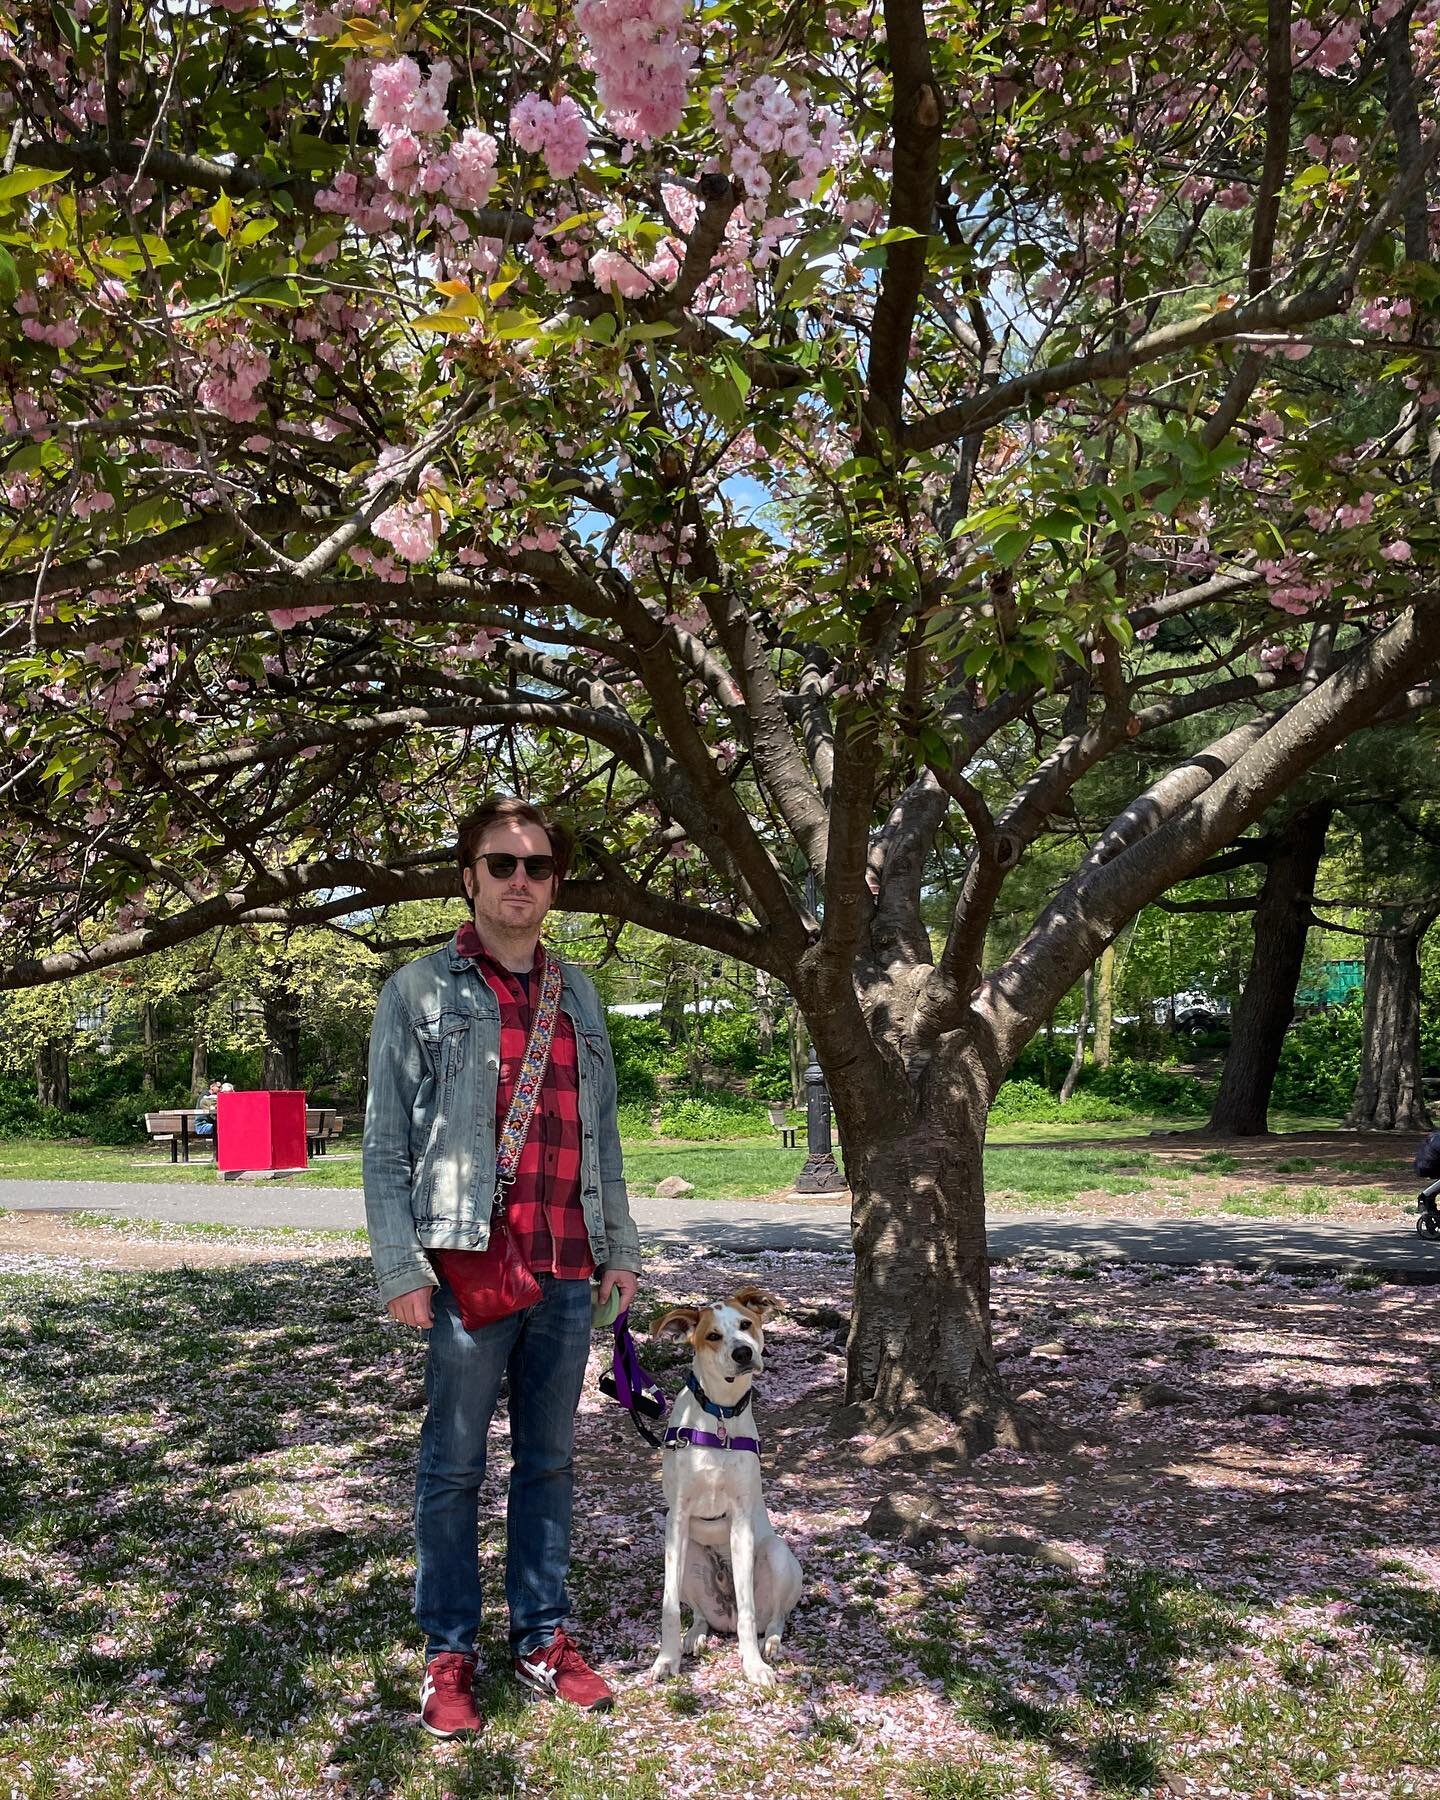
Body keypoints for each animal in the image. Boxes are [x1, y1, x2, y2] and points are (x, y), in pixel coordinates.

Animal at [648, 1281, 802, 1684]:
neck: (720, 1413)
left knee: (774, 1618)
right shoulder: (677, 1519)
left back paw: (771, 1645)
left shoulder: (741, 1522)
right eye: (713, 1336)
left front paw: (754, 1666)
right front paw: (666, 1659)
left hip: (778, 1555)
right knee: (700, 1614)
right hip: (688, 1557)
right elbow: (669, 1607)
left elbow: (749, 1611)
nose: (743, 1352)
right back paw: (693, 1637)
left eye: (746, 1324)